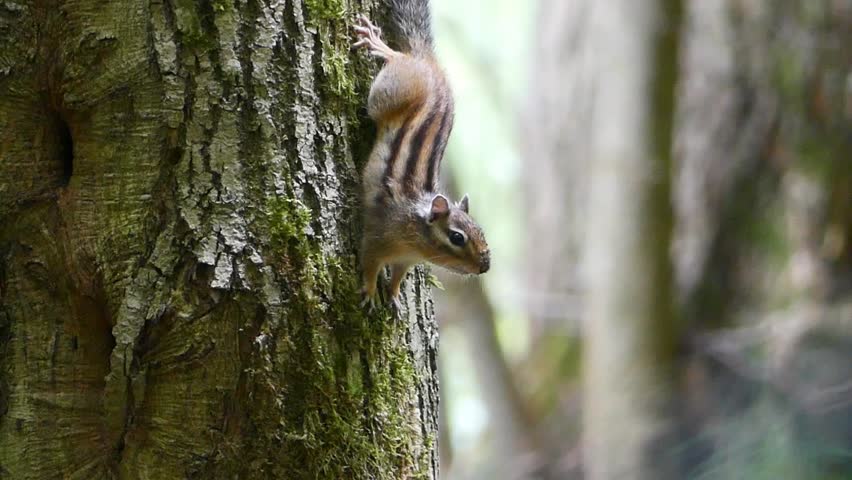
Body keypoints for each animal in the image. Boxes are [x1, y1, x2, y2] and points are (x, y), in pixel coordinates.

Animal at [353, 2, 490, 310]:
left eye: (481, 231)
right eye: (457, 237)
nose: (485, 267)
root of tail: (430, 61)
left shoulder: (406, 261)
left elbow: (397, 276)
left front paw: (393, 297)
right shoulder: (378, 239)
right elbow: (369, 263)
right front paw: (369, 291)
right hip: (388, 93)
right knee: (400, 58)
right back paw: (382, 47)